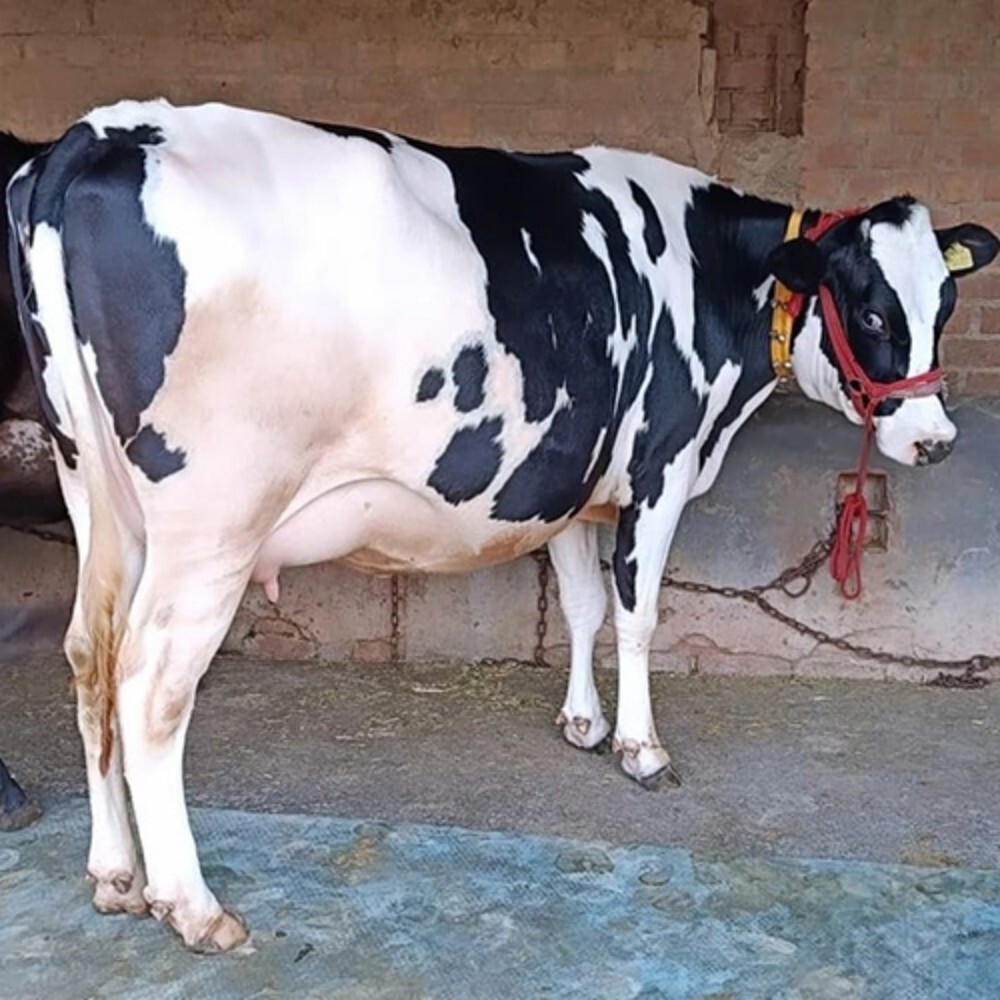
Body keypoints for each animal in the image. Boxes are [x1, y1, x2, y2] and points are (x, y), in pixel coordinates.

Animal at [7, 99, 997, 952]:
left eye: (944, 308)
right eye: (871, 310)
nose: (935, 439)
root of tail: (92, 136)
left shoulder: (564, 477)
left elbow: (583, 606)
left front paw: (582, 723)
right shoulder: (662, 466)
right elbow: (637, 613)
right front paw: (640, 749)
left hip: (94, 490)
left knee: (91, 655)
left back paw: (115, 874)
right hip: (212, 520)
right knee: (151, 685)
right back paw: (192, 905)